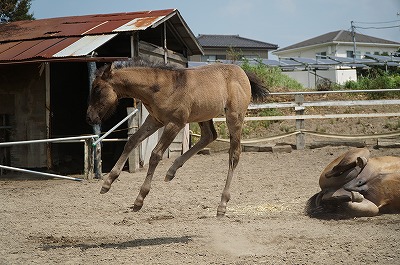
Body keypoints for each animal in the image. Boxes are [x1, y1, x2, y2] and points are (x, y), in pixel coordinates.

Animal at [87, 60, 268, 217]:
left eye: (97, 89)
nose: (90, 117)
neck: (161, 87)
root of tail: (242, 72)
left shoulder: (174, 123)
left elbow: (155, 155)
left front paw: (139, 199)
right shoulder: (155, 120)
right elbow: (132, 141)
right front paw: (107, 182)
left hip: (234, 117)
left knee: (234, 154)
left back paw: (222, 205)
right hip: (203, 114)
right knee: (209, 136)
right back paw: (171, 171)